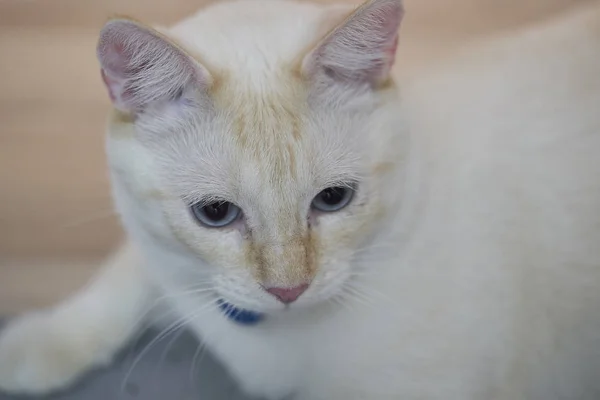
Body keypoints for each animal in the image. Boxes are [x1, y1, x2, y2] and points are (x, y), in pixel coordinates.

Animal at [1, 0, 600, 398]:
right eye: (215, 214)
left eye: (333, 200)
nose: (287, 291)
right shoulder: (154, 247)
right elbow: (120, 279)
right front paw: (31, 348)